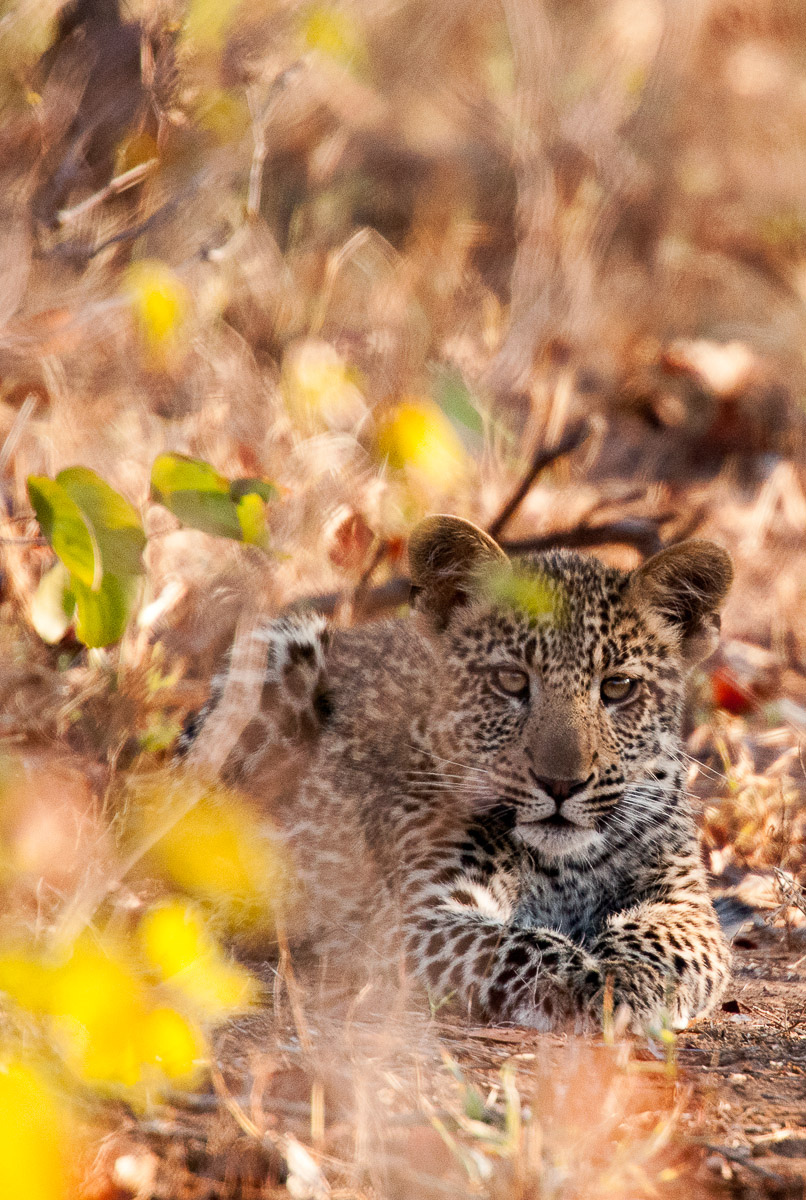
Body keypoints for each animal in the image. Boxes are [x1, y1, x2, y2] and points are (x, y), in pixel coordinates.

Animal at [182, 515, 734, 1033]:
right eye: (511, 681)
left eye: (618, 688)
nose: (561, 784)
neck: (562, 870)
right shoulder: (414, 915)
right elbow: (518, 945)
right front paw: (584, 981)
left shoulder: (685, 902)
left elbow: (665, 939)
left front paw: (630, 979)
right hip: (279, 652)